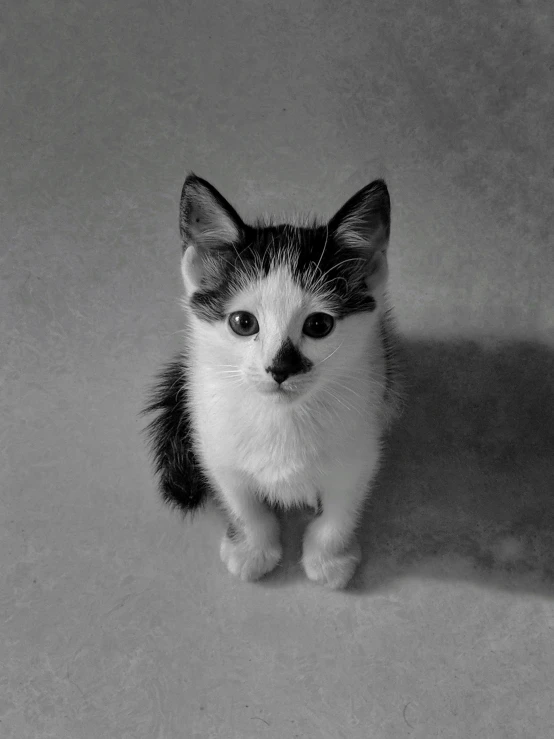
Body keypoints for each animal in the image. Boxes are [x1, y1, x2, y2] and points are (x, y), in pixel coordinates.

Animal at [144, 173, 398, 588]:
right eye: (243, 322)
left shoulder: (359, 451)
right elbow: (244, 505)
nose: (279, 370)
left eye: (318, 325)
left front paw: (328, 560)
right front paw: (253, 550)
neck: (280, 418)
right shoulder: (214, 446)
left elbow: (340, 511)